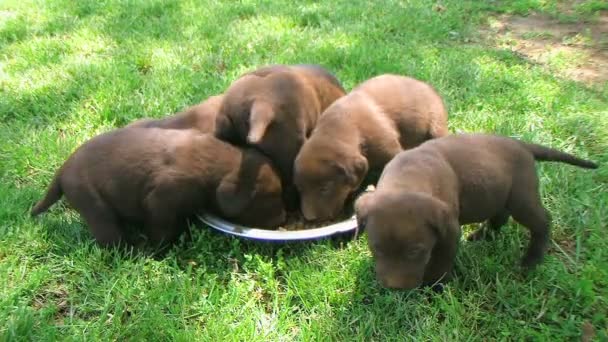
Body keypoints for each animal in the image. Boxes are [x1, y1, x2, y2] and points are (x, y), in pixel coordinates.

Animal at [32, 127, 288, 246]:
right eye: (269, 199)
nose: (282, 220)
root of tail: (62, 171)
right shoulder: (161, 200)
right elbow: (162, 230)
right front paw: (156, 249)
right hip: (93, 204)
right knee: (109, 235)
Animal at [294, 73, 446, 220]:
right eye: (300, 189)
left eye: (325, 188)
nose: (310, 219)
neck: (339, 126)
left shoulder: (390, 150)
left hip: (436, 123)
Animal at [356, 133, 600, 288]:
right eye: (376, 249)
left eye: (416, 251)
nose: (394, 289)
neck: (407, 179)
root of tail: (523, 146)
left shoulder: (449, 232)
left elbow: (440, 263)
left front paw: (434, 287)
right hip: (500, 192)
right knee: (500, 216)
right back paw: (483, 235)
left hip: (522, 196)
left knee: (543, 221)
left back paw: (531, 260)